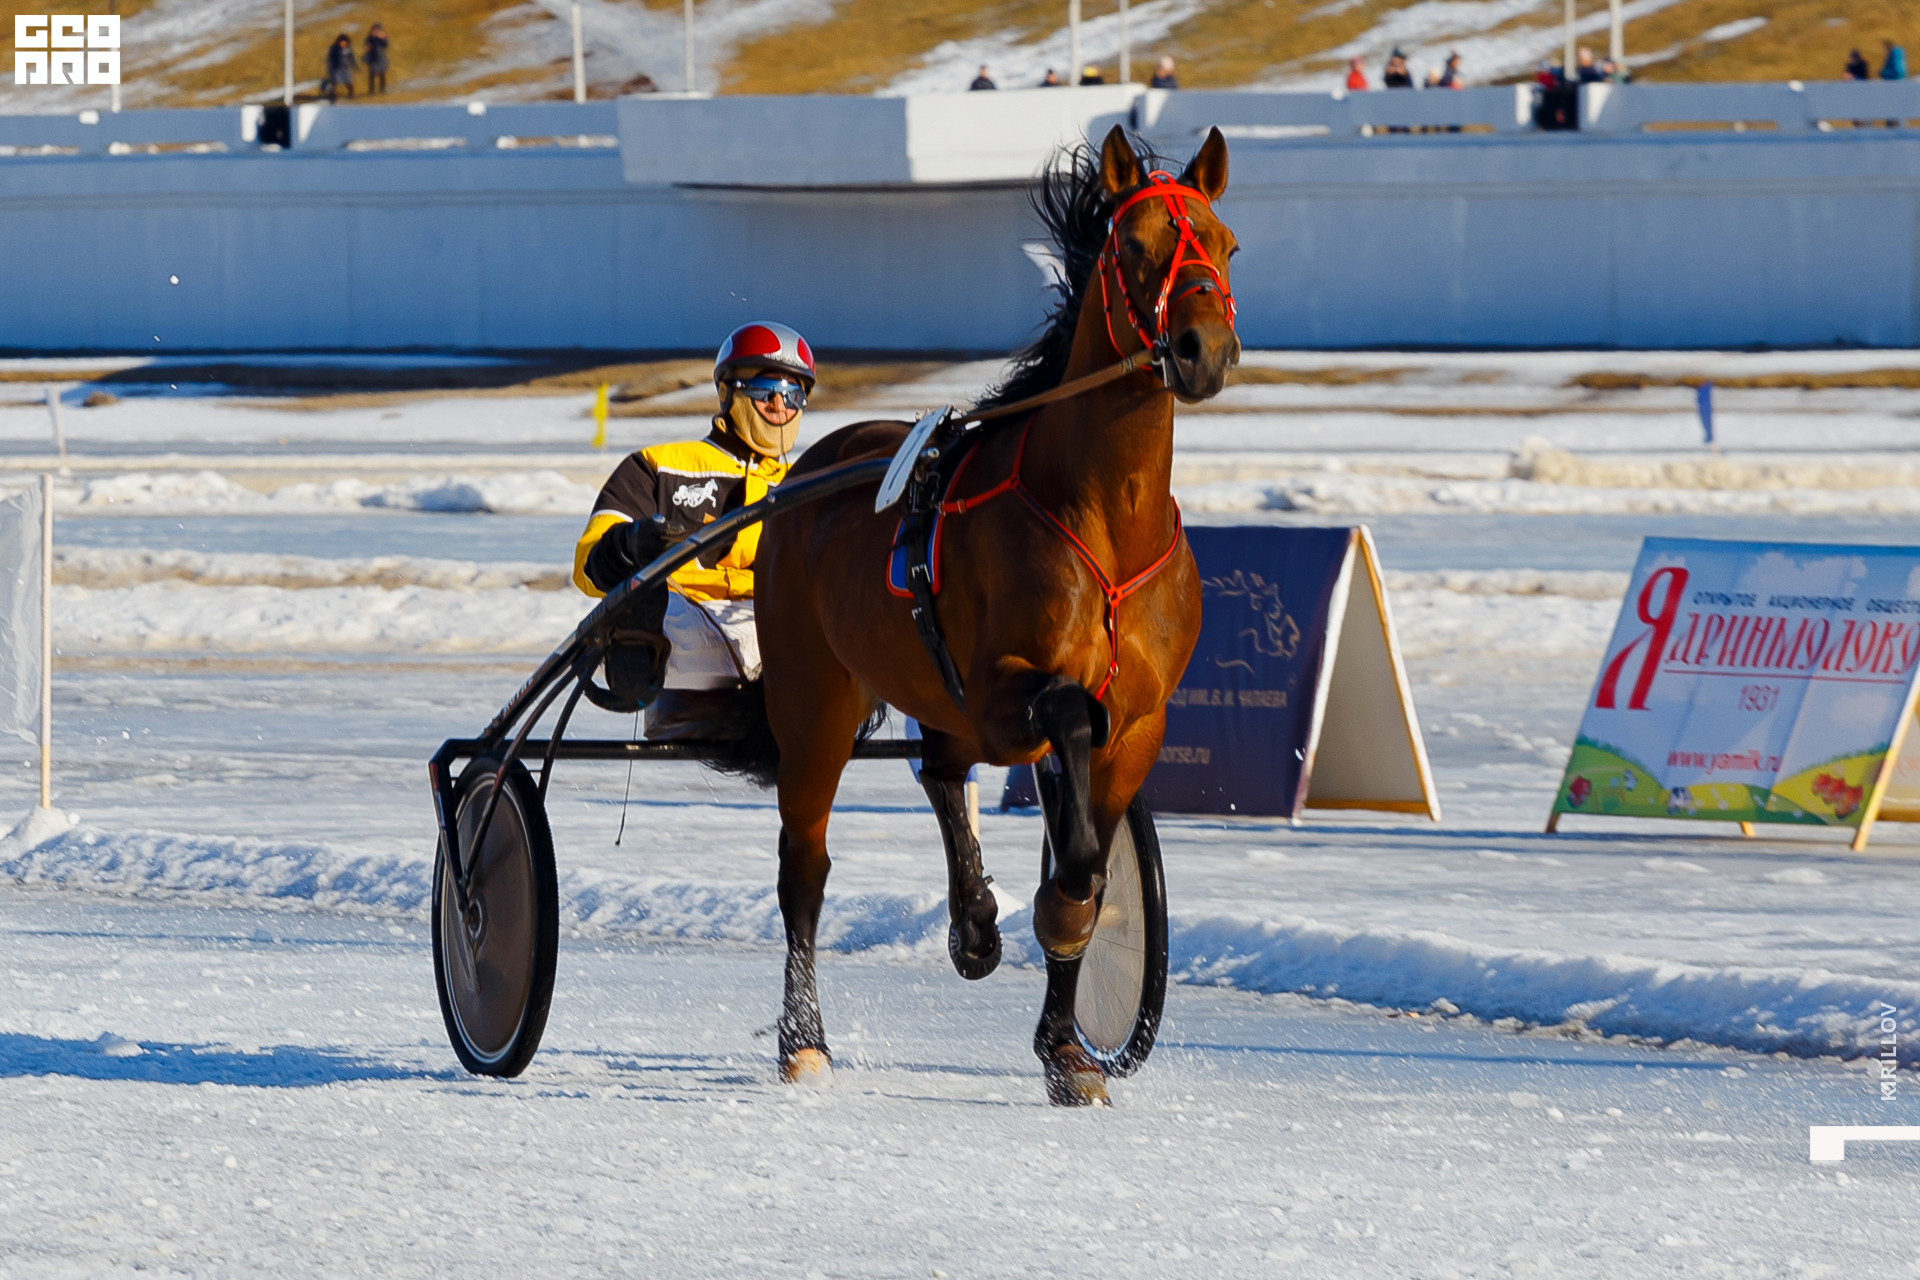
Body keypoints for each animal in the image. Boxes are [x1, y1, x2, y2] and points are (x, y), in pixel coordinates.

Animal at [713, 125, 1239, 1106]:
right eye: (1131, 245)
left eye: (1226, 245)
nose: (1202, 350)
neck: (1104, 519)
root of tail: (812, 468)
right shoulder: (1004, 692)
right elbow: (1068, 736)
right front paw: (1054, 937)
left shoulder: (1141, 720)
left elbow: (1090, 868)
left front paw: (1068, 1045)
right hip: (815, 701)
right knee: (805, 867)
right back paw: (804, 1040)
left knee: (940, 771)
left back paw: (975, 925)